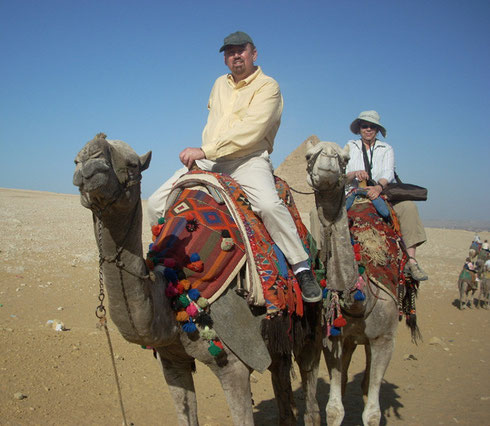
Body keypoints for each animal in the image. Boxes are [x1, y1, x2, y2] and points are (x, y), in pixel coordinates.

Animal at [72, 134, 306, 426]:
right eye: (76, 159)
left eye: (133, 165)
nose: (89, 161)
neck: (174, 292)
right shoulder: (172, 363)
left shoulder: (235, 364)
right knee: (282, 376)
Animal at [304, 140, 416, 426]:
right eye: (309, 155)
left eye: (344, 158)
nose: (327, 165)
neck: (360, 300)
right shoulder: (333, 338)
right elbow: (334, 408)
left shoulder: (385, 340)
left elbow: (373, 413)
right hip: (351, 339)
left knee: (366, 382)